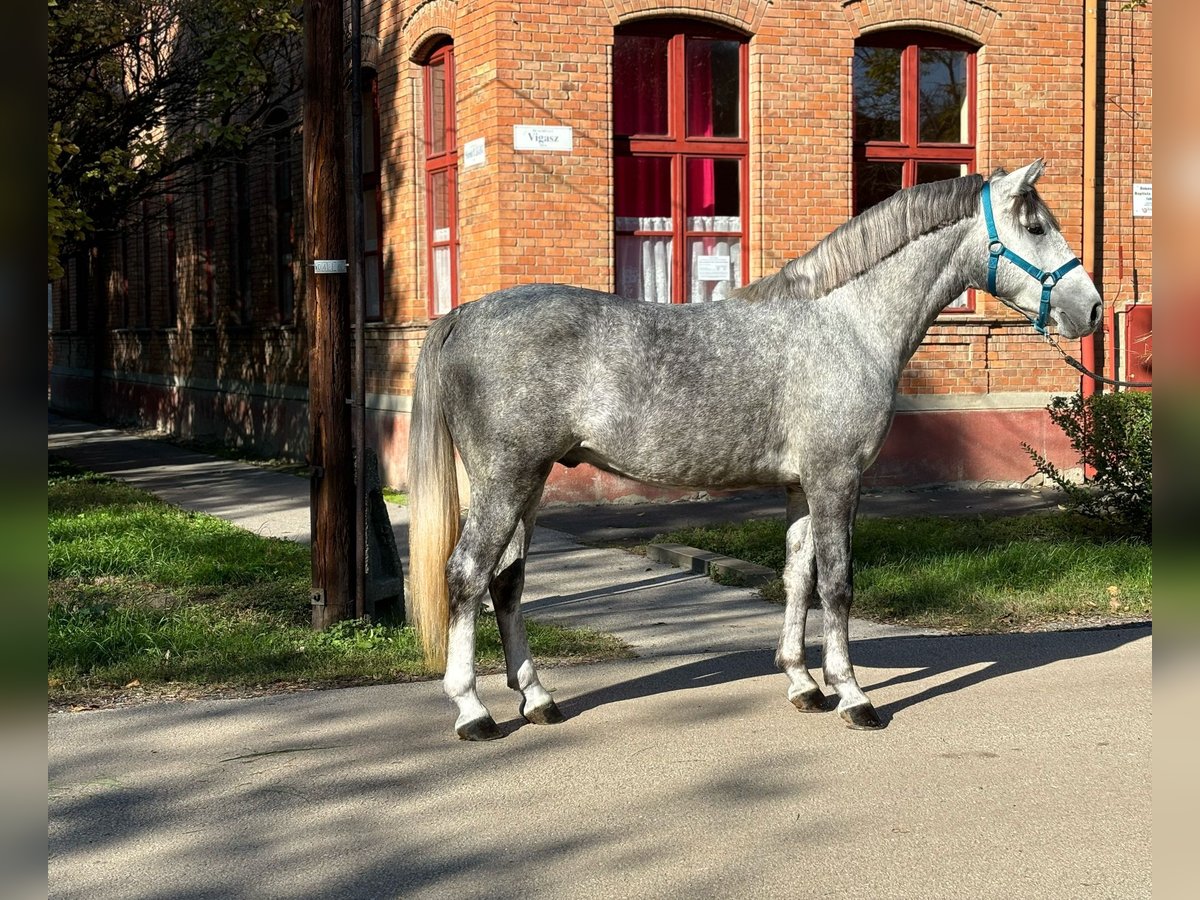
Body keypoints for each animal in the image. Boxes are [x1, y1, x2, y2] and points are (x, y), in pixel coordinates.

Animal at [408, 162, 1099, 739]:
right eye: (1035, 225)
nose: (1090, 308)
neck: (847, 323)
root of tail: (462, 315)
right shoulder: (835, 480)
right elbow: (838, 585)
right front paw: (854, 696)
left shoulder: (801, 487)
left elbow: (798, 577)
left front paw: (803, 683)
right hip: (506, 481)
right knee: (466, 575)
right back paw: (473, 711)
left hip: (529, 483)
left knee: (508, 582)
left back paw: (538, 699)